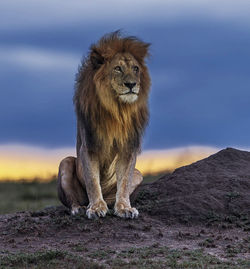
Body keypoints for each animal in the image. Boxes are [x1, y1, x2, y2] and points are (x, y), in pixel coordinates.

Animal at [57, 31, 150, 218]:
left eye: (135, 69)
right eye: (118, 68)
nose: (131, 84)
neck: (117, 110)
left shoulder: (128, 148)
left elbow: (124, 183)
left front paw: (124, 208)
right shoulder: (89, 145)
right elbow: (93, 181)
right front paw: (96, 208)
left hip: (139, 174)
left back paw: (111, 204)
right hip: (66, 162)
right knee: (73, 200)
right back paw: (79, 208)